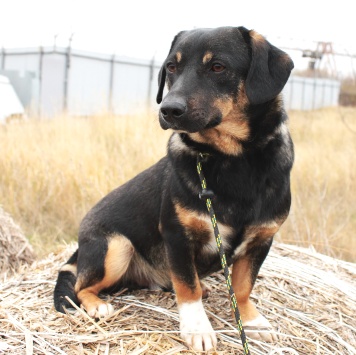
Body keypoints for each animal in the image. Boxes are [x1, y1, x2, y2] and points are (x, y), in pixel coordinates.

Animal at [54, 26, 294, 352]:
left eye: (217, 67)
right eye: (171, 67)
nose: (168, 109)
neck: (231, 159)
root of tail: (81, 244)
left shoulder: (261, 239)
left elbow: (243, 287)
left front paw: (252, 321)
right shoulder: (177, 235)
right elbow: (187, 288)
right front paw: (197, 328)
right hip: (116, 246)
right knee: (81, 285)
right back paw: (97, 305)